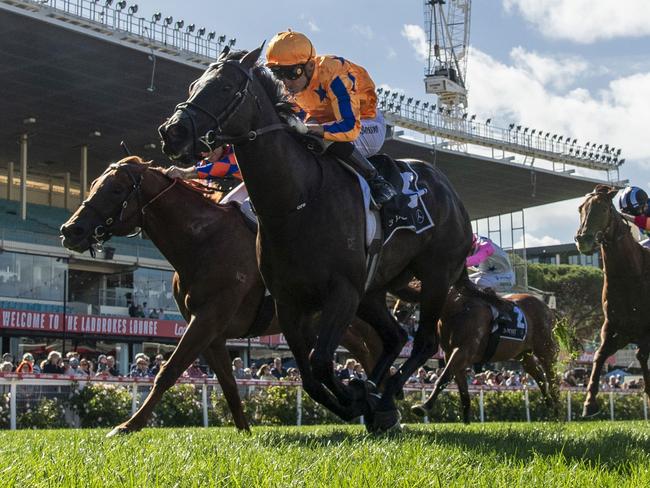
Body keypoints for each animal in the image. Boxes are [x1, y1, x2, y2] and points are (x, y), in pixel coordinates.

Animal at [58, 157, 382, 434]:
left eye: (115, 189)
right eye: (93, 184)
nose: (71, 230)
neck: (202, 241)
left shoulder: (208, 317)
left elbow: (168, 371)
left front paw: (129, 425)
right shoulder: (212, 332)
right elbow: (228, 383)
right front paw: (245, 430)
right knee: (365, 350)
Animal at [157, 46, 470, 430]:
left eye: (226, 86)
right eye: (193, 84)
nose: (172, 132)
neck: (296, 200)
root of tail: (451, 193)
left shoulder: (341, 293)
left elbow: (320, 362)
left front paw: (355, 396)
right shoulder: (289, 301)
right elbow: (308, 375)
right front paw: (356, 397)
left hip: (436, 276)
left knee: (424, 342)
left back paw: (385, 395)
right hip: (373, 291)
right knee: (396, 337)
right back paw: (377, 396)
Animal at [410, 282, 556, 424]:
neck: (457, 310)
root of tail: (548, 309)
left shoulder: (463, 351)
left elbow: (444, 377)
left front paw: (424, 406)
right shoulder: (450, 354)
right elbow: (462, 389)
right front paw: (466, 422)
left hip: (545, 349)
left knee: (551, 376)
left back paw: (556, 406)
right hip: (523, 354)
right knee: (539, 376)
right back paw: (550, 404)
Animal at [572, 185, 648, 418]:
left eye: (604, 208)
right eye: (581, 208)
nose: (584, 240)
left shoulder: (644, 328)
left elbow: (641, 355)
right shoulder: (614, 326)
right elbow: (599, 355)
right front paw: (589, 403)